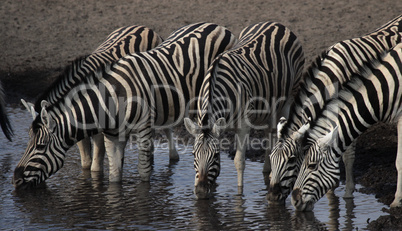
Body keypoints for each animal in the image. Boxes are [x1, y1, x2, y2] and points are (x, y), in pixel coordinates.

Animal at [184, 21, 304, 199]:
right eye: (193, 154)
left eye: (216, 155)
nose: (200, 191)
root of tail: (276, 23)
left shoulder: (243, 125)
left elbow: (239, 161)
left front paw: (239, 196)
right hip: (269, 103)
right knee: (270, 131)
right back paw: (267, 170)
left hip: (288, 97)